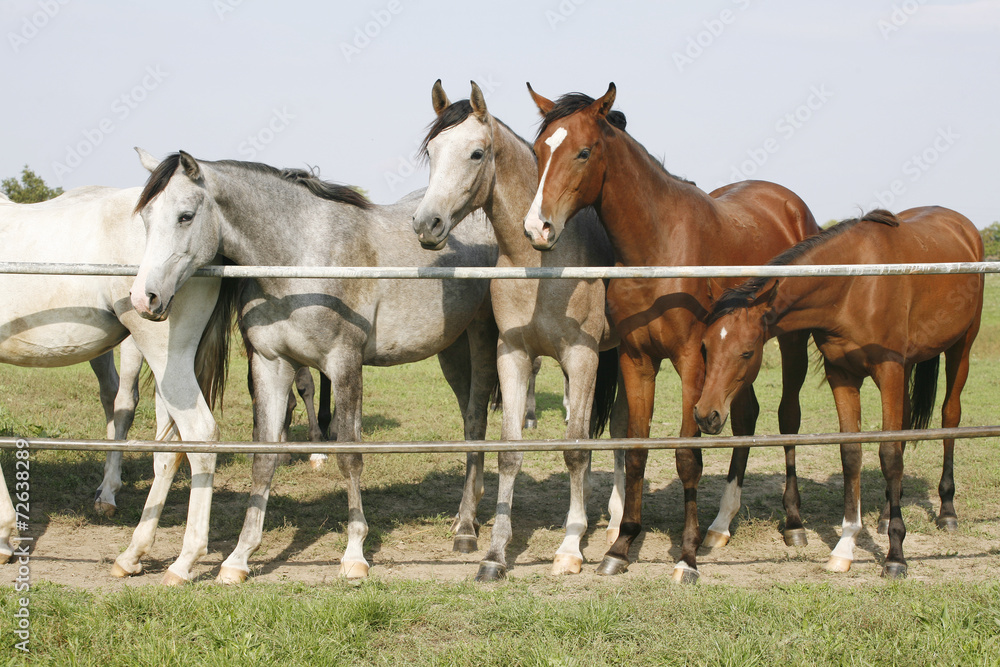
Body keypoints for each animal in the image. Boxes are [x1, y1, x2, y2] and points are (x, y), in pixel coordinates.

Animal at [0, 157, 234, 584]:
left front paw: (5, 535)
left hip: (160, 352)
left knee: (198, 434)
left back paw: (184, 559)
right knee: (169, 446)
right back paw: (133, 553)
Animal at [128, 150, 500, 580]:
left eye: (185, 216)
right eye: (145, 217)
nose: (144, 297)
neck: (301, 255)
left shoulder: (344, 364)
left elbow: (350, 456)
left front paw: (354, 554)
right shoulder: (271, 366)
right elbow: (264, 458)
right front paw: (238, 558)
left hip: (481, 339)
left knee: (476, 419)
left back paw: (467, 527)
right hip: (451, 352)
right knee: (469, 420)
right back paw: (462, 517)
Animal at [410, 79, 620, 580]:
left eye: (477, 153)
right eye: (433, 151)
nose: (427, 224)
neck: (542, 261)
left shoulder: (583, 358)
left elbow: (575, 449)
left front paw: (570, 548)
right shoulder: (514, 355)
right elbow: (510, 451)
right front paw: (495, 553)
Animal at [524, 83, 820, 580]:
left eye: (583, 151)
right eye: (539, 150)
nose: (537, 228)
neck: (658, 248)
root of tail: (791, 205)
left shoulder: (689, 361)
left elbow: (687, 457)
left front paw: (686, 557)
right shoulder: (637, 359)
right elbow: (637, 451)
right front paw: (620, 546)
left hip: (791, 344)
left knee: (788, 418)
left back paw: (793, 523)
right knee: (746, 419)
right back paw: (720, 526)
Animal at [696, 210, 984, 580]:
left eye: (747, 352)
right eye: (705, 347)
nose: (706, 415)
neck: (854, 286)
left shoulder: (889, 370)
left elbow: (889, 455)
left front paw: (895, 556)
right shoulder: (842, 375)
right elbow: (851, 454)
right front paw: (845, 547)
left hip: (961, 347)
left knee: (950, 416)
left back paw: (947, 511)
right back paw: (889, 513)